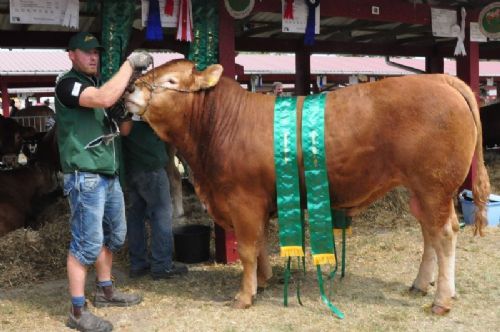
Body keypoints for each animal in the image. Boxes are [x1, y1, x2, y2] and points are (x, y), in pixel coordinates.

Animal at [125, 58, 488, 316]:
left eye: (170, 81)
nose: (129, 90)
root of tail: (439, 78)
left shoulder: (242, 199)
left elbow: (246, 249)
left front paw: (243, 295)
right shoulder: (258, 202)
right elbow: (260, 244)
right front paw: (264, 281)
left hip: (433, 186)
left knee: (444, 234)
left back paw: (441, 300)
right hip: (421, 190)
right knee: (430, 234)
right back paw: (421, 285)